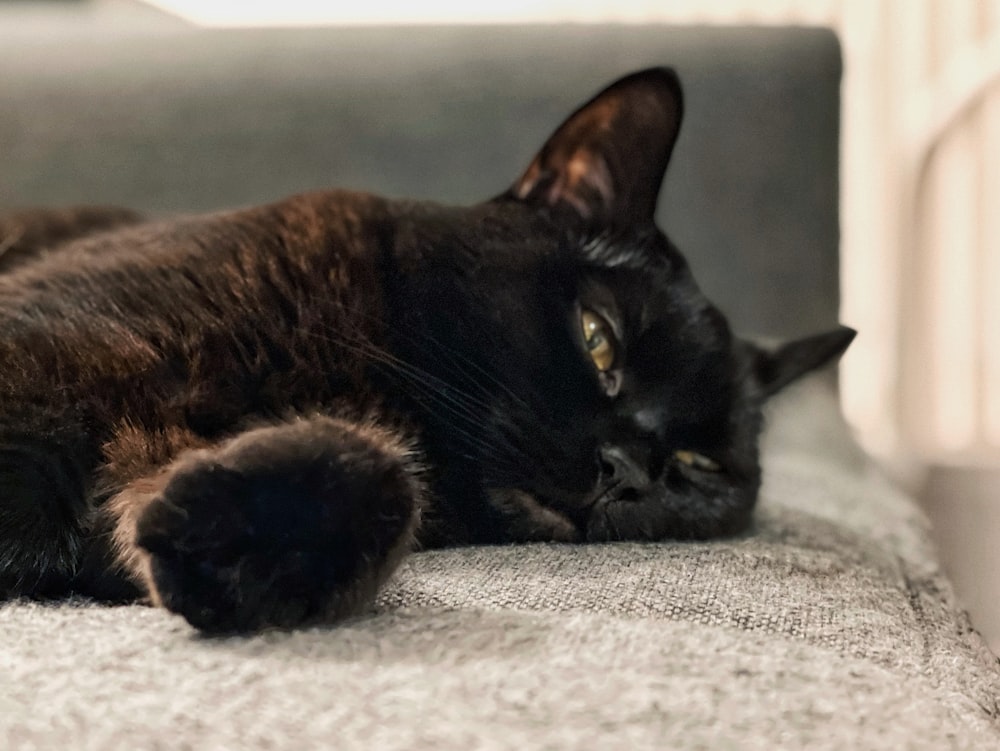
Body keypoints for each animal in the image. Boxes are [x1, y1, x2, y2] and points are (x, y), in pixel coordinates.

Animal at [1, 67, 852, 632]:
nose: (629, 471)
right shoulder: (51, 348)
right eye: (598, 338)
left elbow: (388, 480)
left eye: (701, 465)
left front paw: (240, 532)